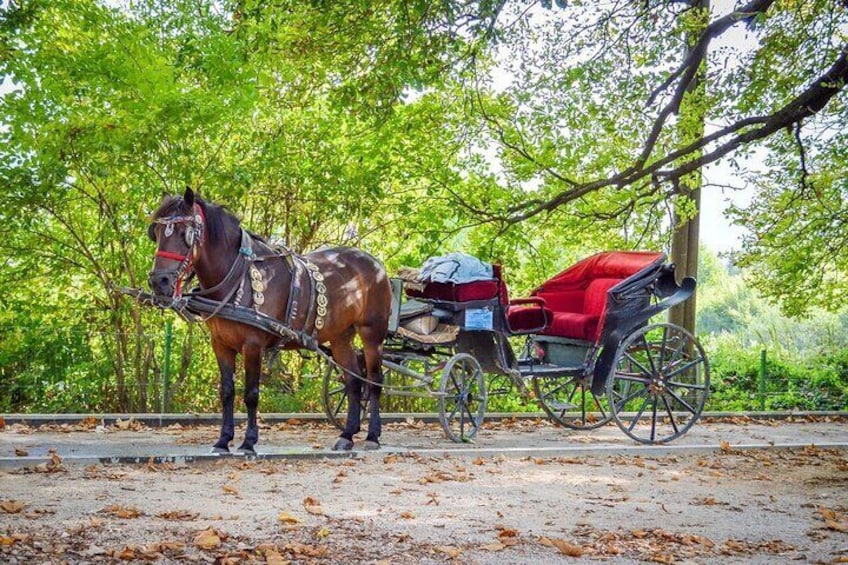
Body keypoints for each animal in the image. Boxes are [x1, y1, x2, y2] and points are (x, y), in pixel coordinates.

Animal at [147, 187, 392, 452]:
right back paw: (347, 434)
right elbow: (227, 392)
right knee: (353, 381)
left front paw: (248, 441)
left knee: (373, 380)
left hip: (373, 332)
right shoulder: (220, 344)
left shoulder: (253, 344)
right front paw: (223, 440)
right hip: (340, 336)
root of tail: (375, 263)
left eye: (186, 233)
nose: (158, 281)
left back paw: (372, 436)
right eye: (156, 233)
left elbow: (251, 394)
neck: (237, 276)